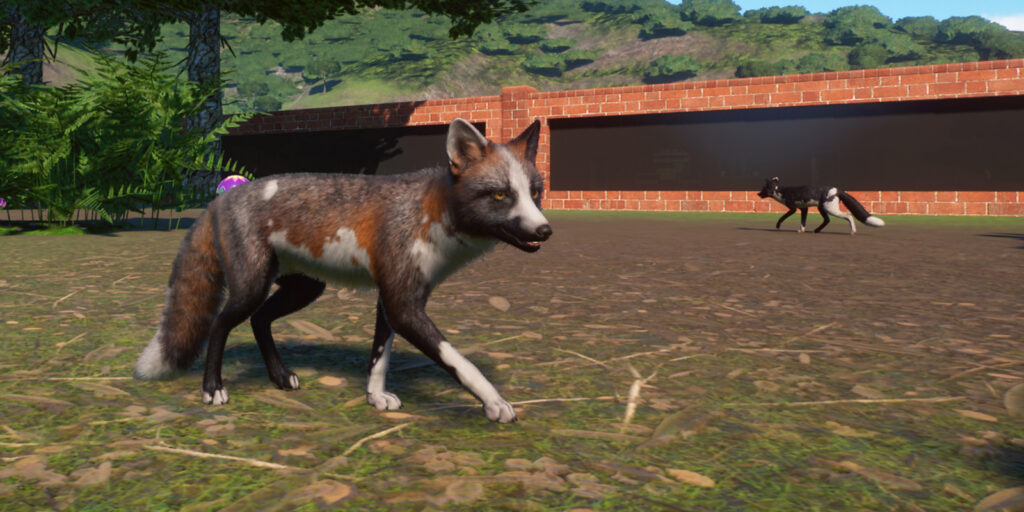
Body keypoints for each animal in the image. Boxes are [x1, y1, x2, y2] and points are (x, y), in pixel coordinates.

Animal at [133, 118, 552, 423]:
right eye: (500, 195)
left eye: (535, 193)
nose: (545, 230)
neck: (430, 214)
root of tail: (221, 199)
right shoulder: (404, 305)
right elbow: (459, 362)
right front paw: (494, 403)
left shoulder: (391, 300)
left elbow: (379, 356)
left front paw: (375, 396)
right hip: (251, 287)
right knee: (220, 325)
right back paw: (212, 388)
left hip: (303, 289)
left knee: (259, 321)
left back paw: (279, 378)